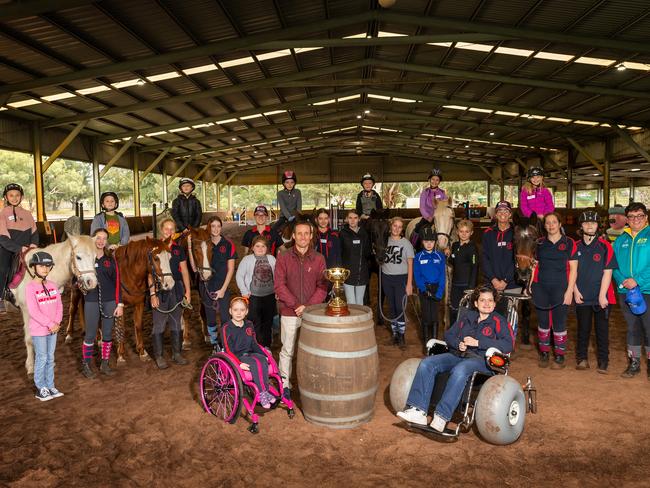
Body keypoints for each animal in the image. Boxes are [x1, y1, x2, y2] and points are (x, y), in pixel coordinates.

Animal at [13, 234, 98, 376]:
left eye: (95, 257)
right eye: (78, 257)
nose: (92, 282)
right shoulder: (27, 310)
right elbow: (30, 339)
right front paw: (31, 366)